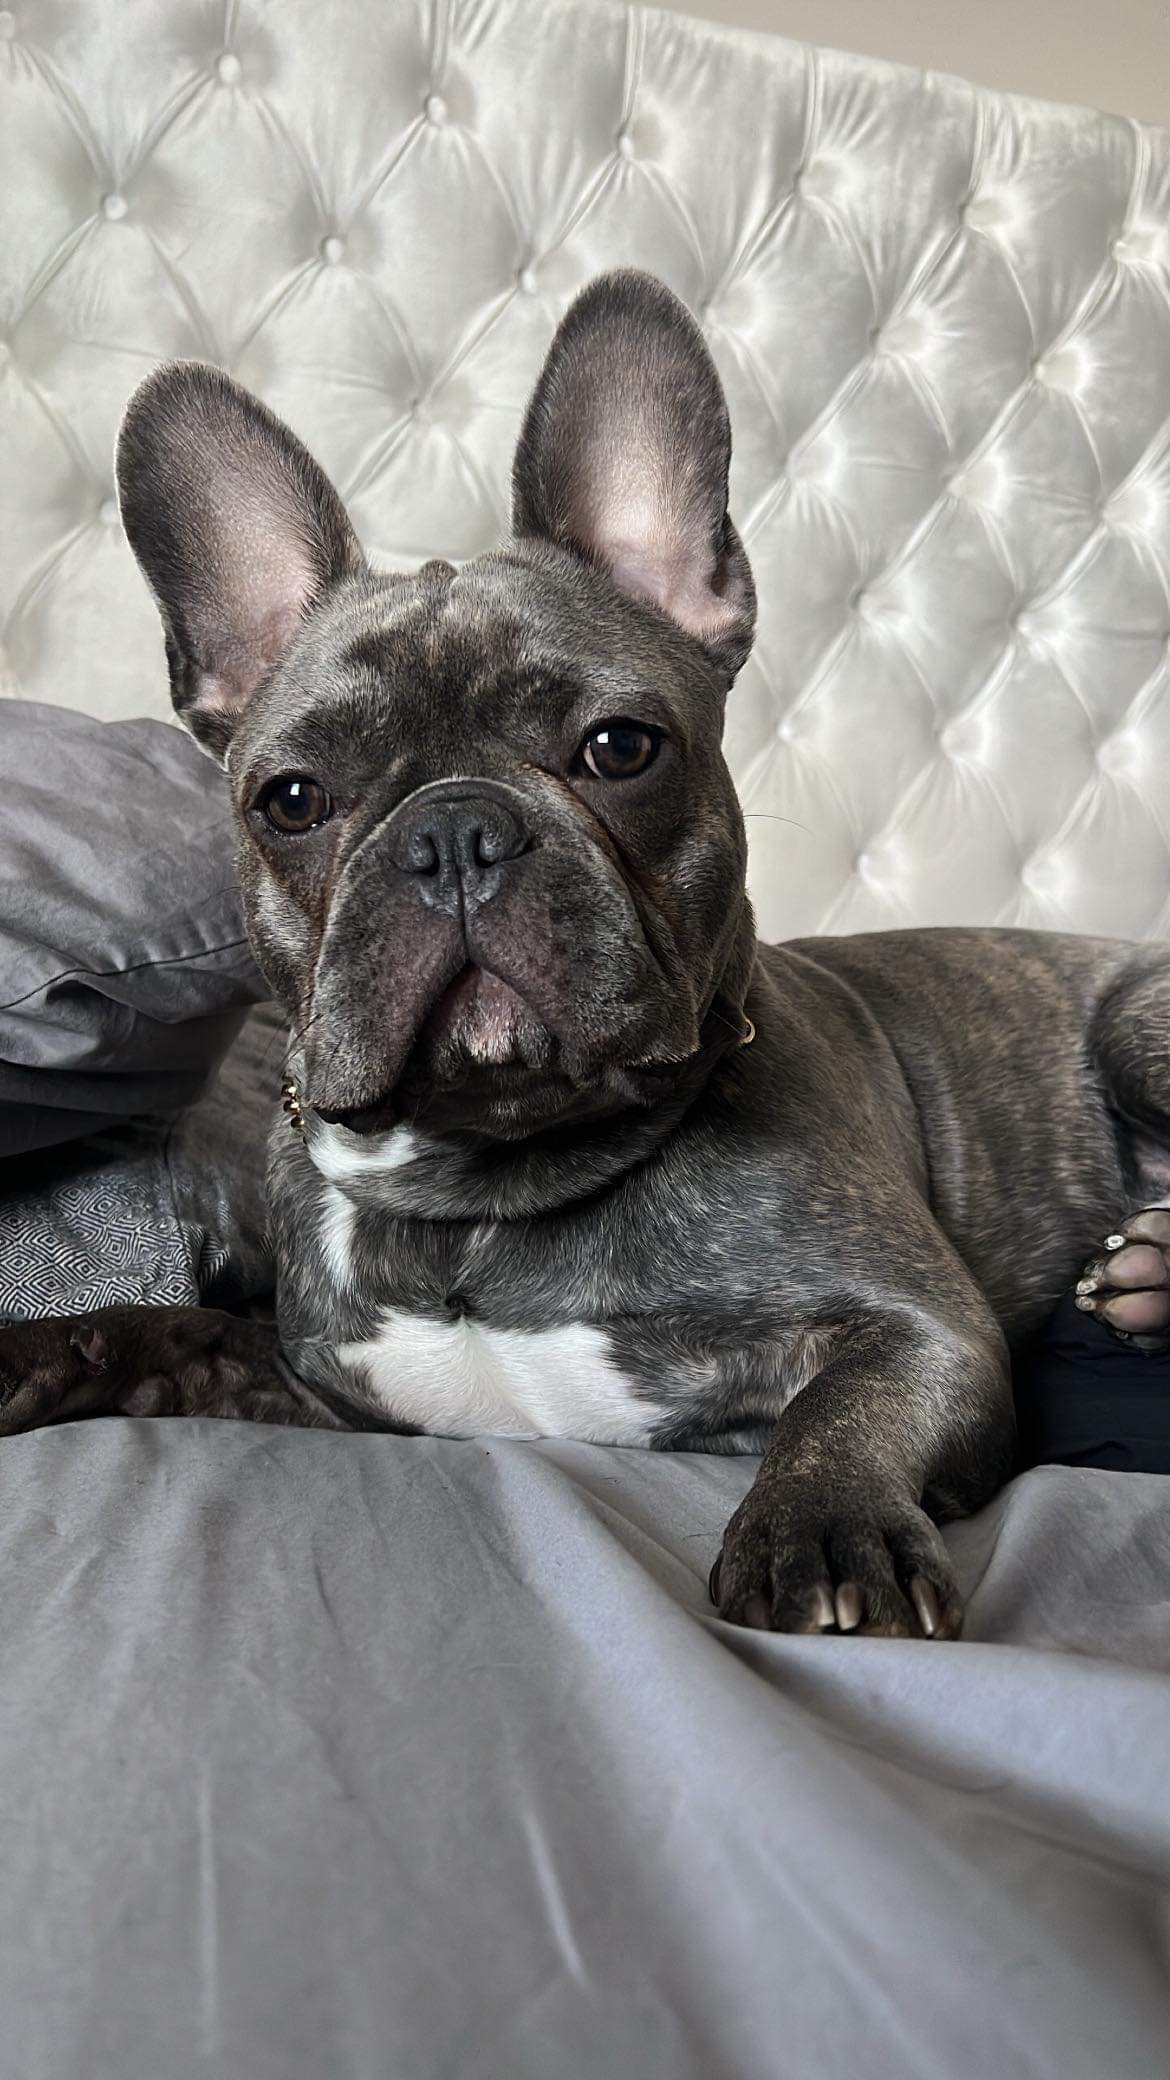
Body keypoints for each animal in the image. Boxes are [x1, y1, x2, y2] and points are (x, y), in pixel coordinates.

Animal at [2, 270, 1167, 1639]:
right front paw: (43, 1352)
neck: (489, 1192)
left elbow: (848, 1404)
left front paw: (824, 1529)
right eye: (290, 799)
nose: (453, 831)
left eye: (620, 746)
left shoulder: (927, 1331)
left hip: (1135, 1027)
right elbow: (179, 1327)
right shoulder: (324, 1389)